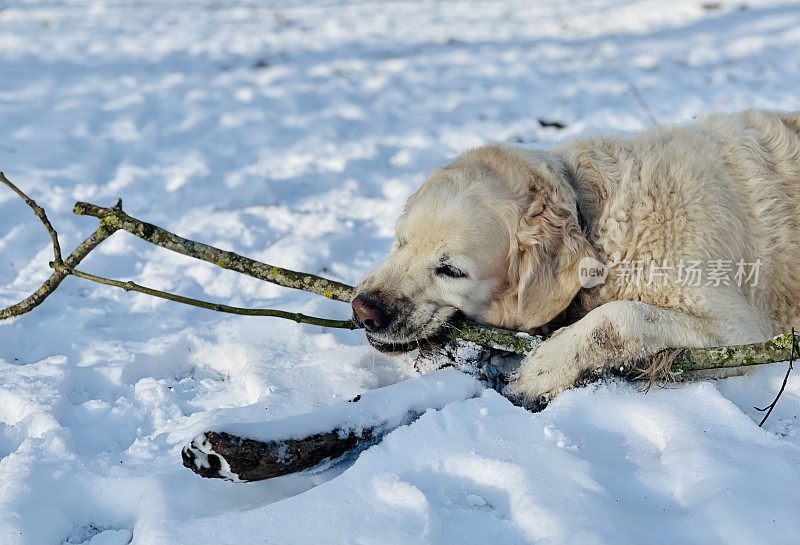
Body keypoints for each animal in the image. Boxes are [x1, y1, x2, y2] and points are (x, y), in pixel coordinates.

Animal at [354, 108, 800, 402]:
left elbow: (620, 316)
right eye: (400, 242)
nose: (362, 309)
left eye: (451, 270)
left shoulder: (740, 330)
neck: (595, 219)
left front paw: (543, 367)